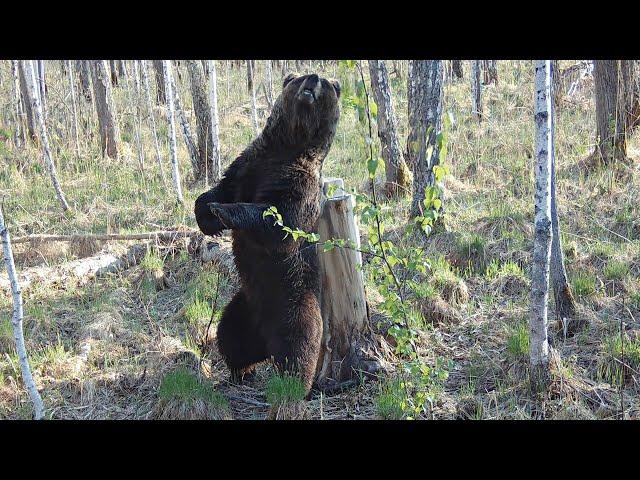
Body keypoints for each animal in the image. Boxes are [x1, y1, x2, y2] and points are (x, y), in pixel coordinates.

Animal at [194, 70, 340, 394]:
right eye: (299, 77)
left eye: (326, 82)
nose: (313, 78)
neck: (289, 145)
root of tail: (265, 339)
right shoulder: (249, 164)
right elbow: (224, 185)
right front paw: (206, 213)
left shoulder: (297, 184)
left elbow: (278, 222)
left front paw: (223, 211)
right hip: (244, 306)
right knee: (230, 337)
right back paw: (240, 373)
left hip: (296, 302)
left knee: (300, 347)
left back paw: (293, 387)